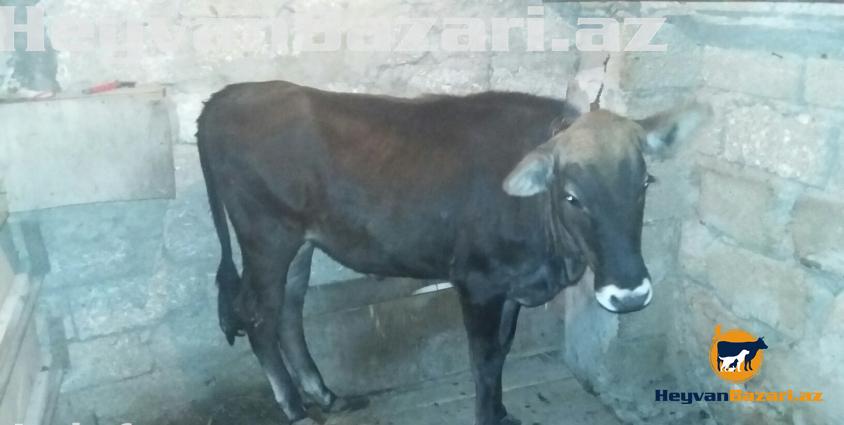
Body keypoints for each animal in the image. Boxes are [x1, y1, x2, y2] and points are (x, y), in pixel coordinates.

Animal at [196, 81, 710, 425]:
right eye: (571, 196)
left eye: (644, 182)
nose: (629, 295)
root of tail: (228, 95)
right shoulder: (478, 283)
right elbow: (482, 360)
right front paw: (487, 416)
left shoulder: (509, 286)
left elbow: (500, 353)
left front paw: (502, 414)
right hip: (266, 237)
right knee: (259, 315)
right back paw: (296, 408)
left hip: (299, 242)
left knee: (289, 310)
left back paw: (325, 396)